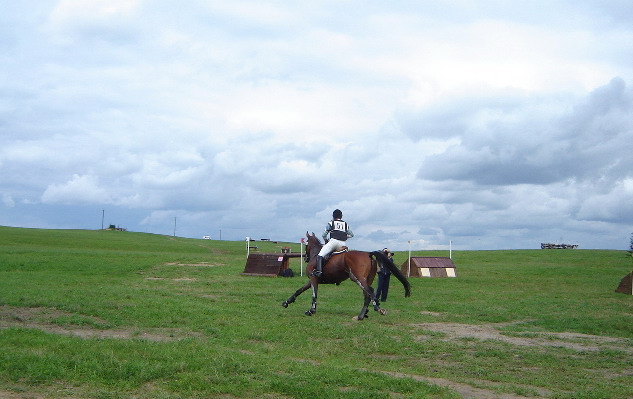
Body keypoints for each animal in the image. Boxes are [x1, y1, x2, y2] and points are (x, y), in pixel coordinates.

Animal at [280, 233, 410, 320]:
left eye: (306, 244)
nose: (306, 258)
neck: (316, 255)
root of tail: (368, 254)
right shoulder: (312, 280)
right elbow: (299, 290)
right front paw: (287, 302)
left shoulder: (313, 279)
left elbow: (314, 294)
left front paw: (311, 311)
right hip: (365, 279)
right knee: (367, 293)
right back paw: (362, 315)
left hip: (357, 278)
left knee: (370, 292)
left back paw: (377, 309)